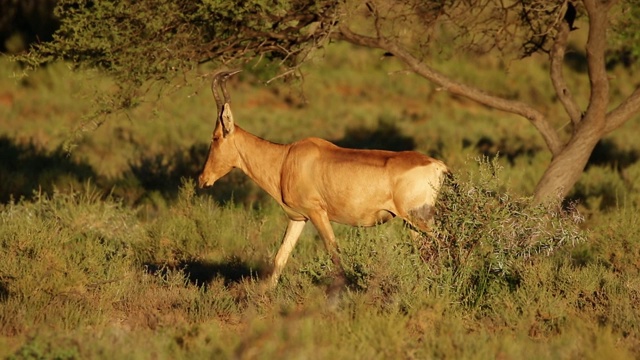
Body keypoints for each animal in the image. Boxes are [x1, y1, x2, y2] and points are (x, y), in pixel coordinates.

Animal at [198, 69, 448, 292]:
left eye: (215, 137)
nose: (202, 179)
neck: (286, 158)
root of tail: (437, 164)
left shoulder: (318, 213)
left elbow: (334, 252)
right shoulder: (298, 218)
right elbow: (281, 255)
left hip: (419, 219)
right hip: (412, 223)